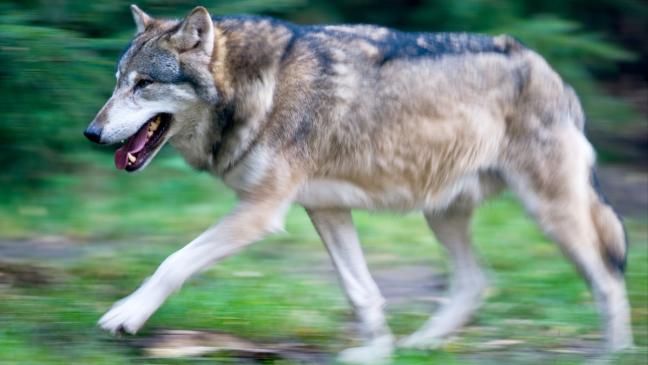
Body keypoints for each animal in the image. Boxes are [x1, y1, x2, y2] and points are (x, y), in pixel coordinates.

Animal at [82, 4, 632, 362]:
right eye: (116, 81)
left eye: (144, 84)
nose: (91, 132)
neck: (256, 90)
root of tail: (546, 67)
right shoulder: (325, 210)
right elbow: (361, 292)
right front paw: (378, 351)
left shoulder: (260, 212)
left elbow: (173, 262)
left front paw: (126, 315)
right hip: (442, 214)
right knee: (477, 282)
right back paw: (421, 346)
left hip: (550, 213)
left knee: (606, 279)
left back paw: (615, 354)